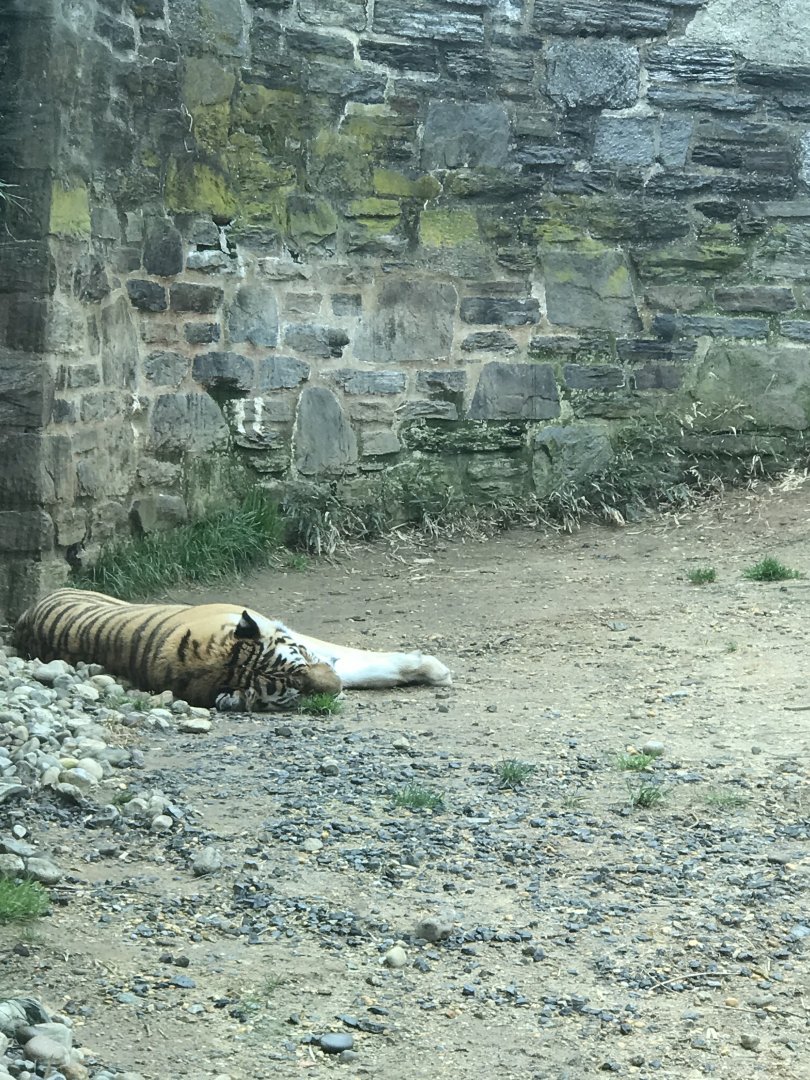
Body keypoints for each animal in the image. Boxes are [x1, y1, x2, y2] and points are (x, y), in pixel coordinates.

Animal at [13, 588, 452, 712]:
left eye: (300, 666)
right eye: (292, 695)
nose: (335, 689)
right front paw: (436, 669)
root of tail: (24, 617)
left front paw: (430, 669)